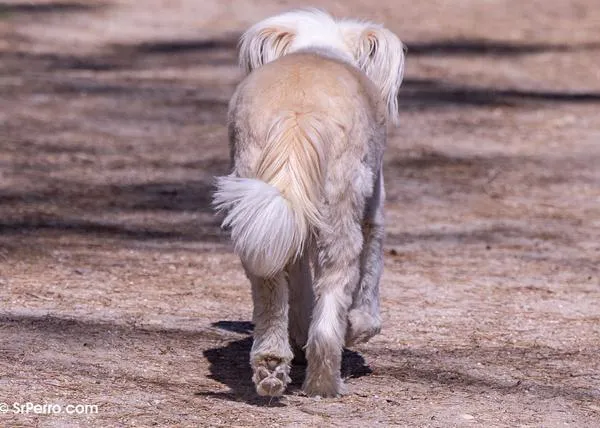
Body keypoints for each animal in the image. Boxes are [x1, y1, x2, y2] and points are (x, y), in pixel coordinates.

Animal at [213, 9, 406, 398]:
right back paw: (324, 380)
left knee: (269, 284)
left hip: (260, 207)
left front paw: (298, 336)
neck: (320, 46)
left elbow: (299, 281)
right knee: (337, 280)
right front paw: (359, 326)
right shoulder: (374, 212)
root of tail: (298, 114)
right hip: (343, 206)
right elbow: (371, 271)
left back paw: (272, 362)